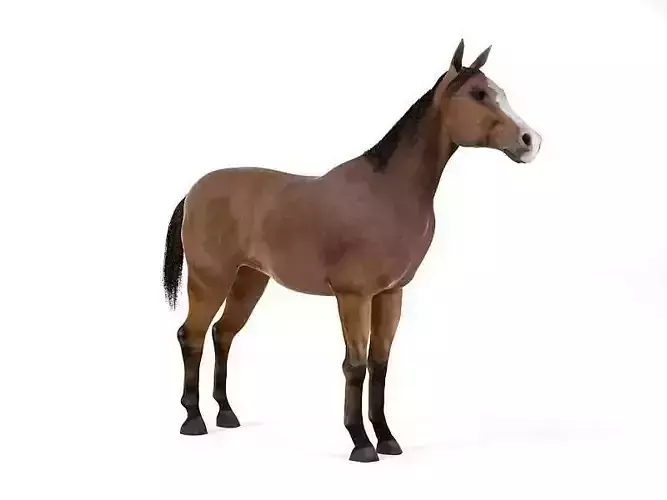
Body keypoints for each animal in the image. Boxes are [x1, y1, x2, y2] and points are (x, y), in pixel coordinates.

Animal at [162, 39, 542, 463]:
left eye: (500, 92)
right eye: (478, 94)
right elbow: (355, 365)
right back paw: (193, 419)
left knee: (222, 334)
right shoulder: (353, 296)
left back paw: (226, 414)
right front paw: (360, 442)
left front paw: (387, 439)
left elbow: (380, 364)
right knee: (191, 336)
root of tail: (193, 192)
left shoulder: (390, 294)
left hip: (249, 281)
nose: (530, 141)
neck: (388, 193)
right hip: (209, 280)